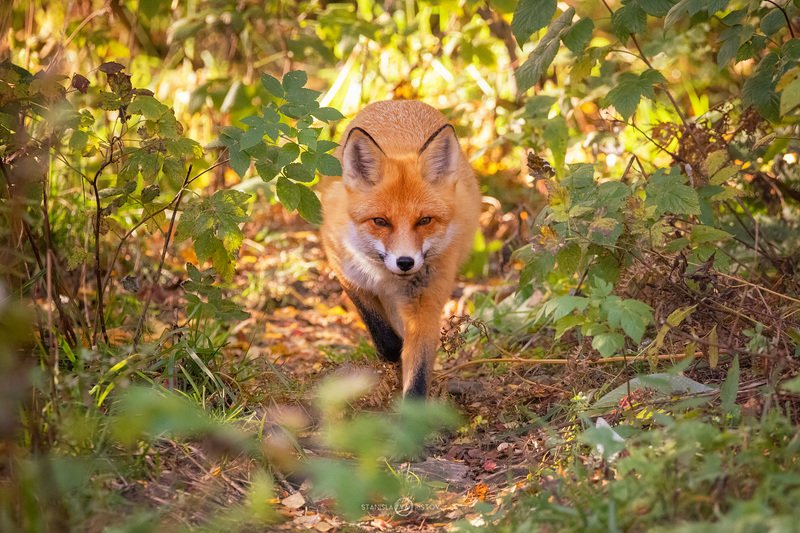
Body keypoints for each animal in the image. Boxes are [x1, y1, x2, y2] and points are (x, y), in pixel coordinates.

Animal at [320, 100, 481, 398]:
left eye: (424, 221)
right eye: (381, 221)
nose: (405, 262)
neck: (386, 277)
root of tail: (399, 103)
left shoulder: (426, 301)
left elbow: (418, 369)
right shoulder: (346, 272)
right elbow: (384, 336)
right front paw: (393, 355)